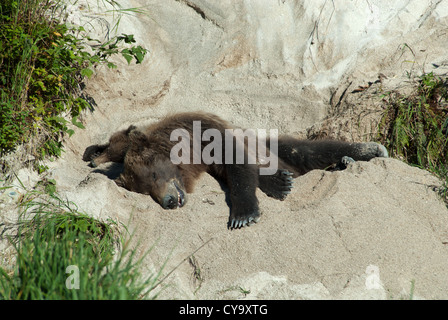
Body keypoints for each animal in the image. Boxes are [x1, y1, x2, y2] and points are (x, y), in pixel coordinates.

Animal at [83, 111, 388, 229]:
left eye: (155, 174)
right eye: (145, 190)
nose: (169, 201)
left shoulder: (208, 135)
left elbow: (238, 166)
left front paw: (243, 214)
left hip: (271, 142)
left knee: (308, 151)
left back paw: (368, 151)